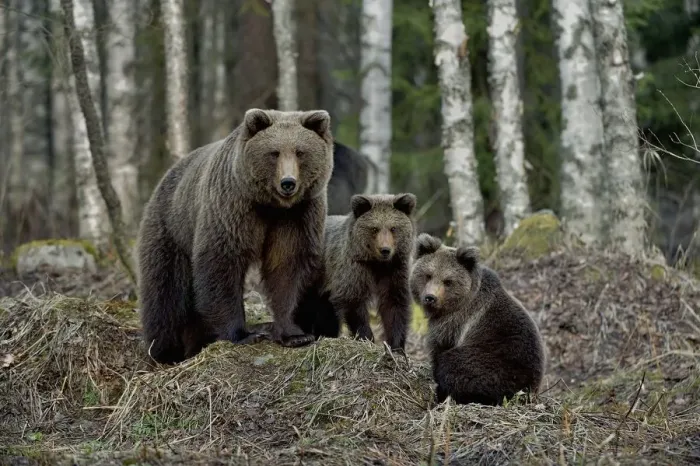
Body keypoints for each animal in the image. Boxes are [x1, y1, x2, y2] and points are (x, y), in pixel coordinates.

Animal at [135, 108, 334, 365]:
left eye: (300, 152)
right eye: (274, 153)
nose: (288, 183)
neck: (271, 205)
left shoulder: (297, 215)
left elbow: (288, 267)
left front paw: (295, 334)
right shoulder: (233, 206)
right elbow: (222, 262)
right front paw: (243, 334)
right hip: (171, 229)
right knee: (165, 293)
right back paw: (164, 352)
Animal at [294, 193, 418, 352]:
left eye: (393, 228)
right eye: (374, 228)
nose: (385, 250)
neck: (377, 264)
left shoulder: (395, 269)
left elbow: (394, 304)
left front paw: (396, 346)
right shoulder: (353, 267)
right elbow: (353, 300)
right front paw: (366, 337)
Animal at [409, 233, 546, 406]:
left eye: (447, 281)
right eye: (428, 275)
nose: (430, 298)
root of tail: (529, 391)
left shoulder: (454, 323)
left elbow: (439, 350)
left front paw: (438, 391)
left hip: (497, 364)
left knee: (456, 365)